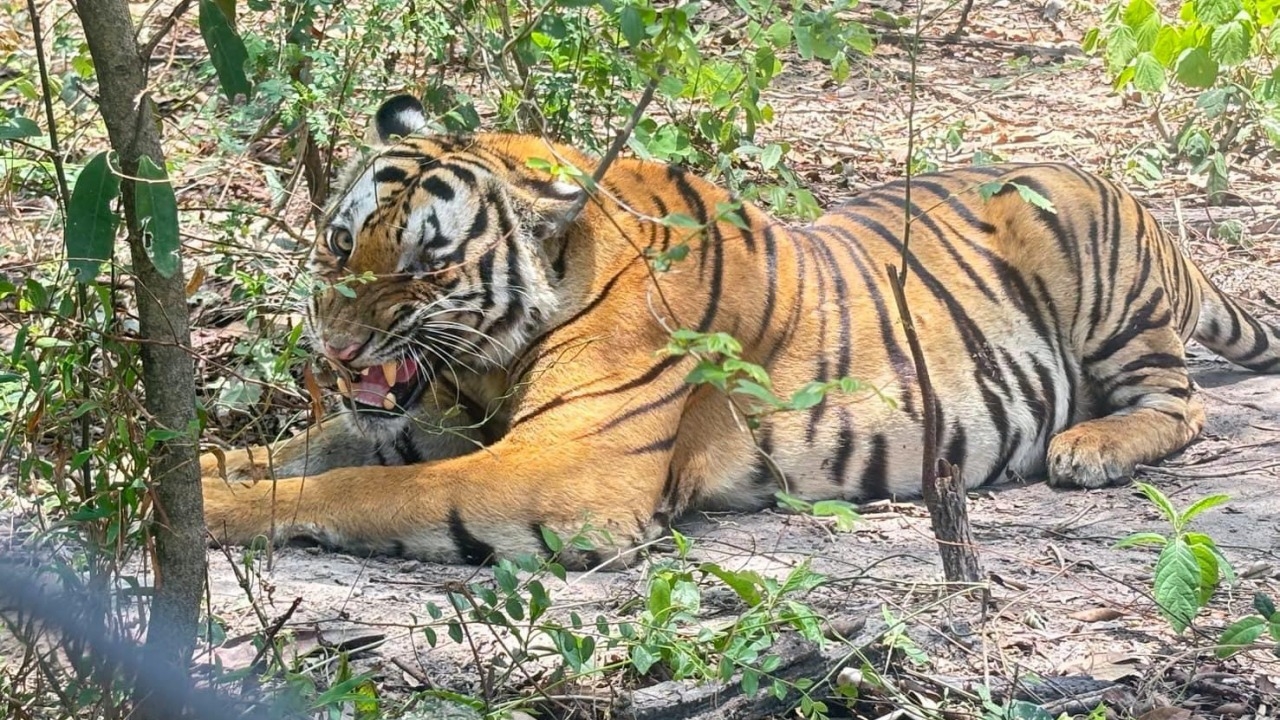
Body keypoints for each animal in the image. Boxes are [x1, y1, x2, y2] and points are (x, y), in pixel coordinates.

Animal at [197, 94, 1280, 566]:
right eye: (341, 244)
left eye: (425, 266)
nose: (335, 350)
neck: (489, 369)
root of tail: (1113, 184)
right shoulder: (427, 422)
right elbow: (281, 455)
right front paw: (177, 479)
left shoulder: (566, 470)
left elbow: (362, 488)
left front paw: (207, 516)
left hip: (1098, 282)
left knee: (1181, 403)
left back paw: (1090, 446)